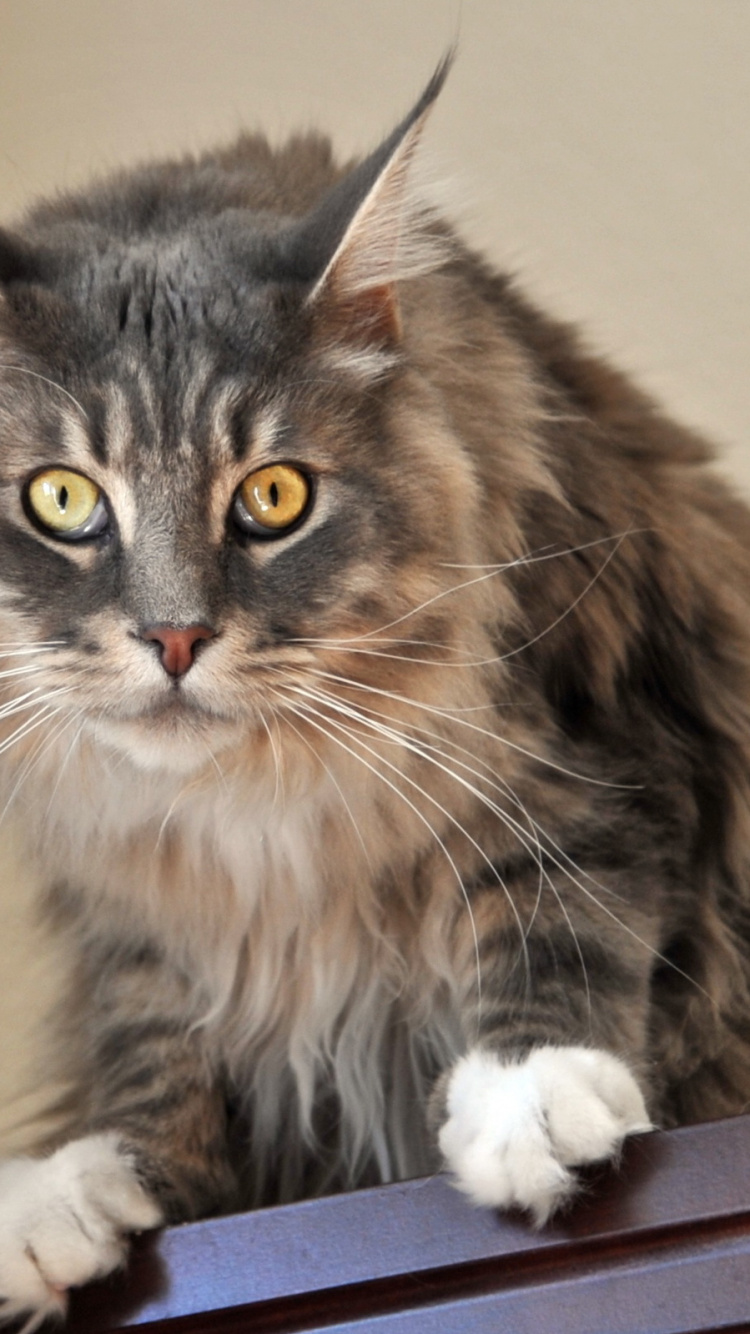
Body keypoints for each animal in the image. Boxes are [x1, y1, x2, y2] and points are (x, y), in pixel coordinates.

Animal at [0, 52, 747, 1323]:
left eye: (274, 496)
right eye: (60, 499)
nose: (174, 634)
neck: (246, 809)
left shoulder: (599, 751)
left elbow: (562, 902)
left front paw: (528, 1091)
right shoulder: (130, 905)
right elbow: (152, 1045)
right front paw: (80, 1186)